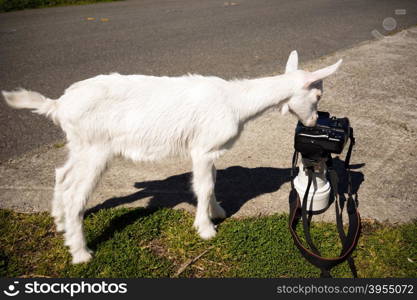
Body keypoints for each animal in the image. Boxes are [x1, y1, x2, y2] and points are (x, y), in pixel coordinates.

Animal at [2, 51, 342, 262]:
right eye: (317, 94)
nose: (314, 121)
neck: (236, 102)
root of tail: (58, 106)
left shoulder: (209, 149)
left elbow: (213, 181)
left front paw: (217, 211)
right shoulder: (202, 149)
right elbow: (203, 186)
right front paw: (206, 229)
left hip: (79, 145)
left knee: (61, 174)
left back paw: (59, 222)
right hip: (95, 147)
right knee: (76, 194)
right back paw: (81, 252)